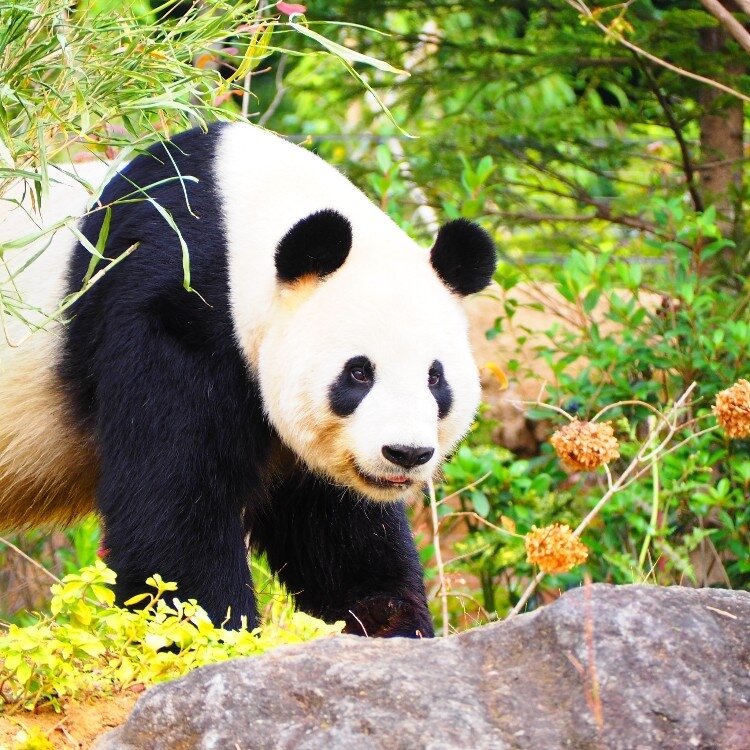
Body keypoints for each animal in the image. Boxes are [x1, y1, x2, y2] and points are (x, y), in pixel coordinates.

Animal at [1, 125, 500, 640]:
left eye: (435, 378)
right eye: (359, 371)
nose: (405, 453)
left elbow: (336, 534)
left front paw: (392, 629)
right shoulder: (170, 305)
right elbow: (172, 518)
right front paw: (218, 636)